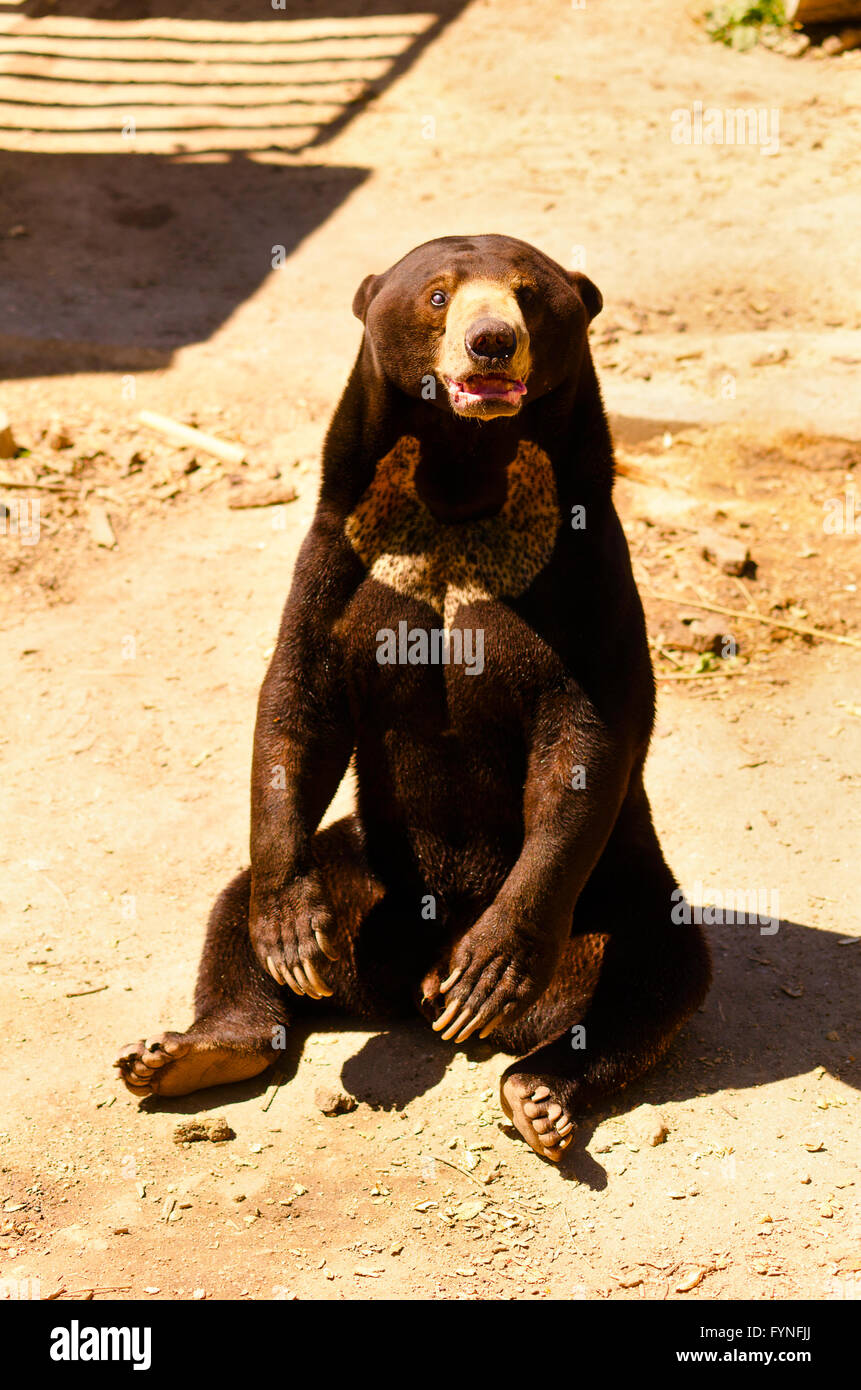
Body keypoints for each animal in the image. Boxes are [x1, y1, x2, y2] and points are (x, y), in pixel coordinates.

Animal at [115, 234, 710, 1161]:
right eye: (437, 295)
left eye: (527, 294)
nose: (491, 342)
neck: (461, 479)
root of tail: (405, 984)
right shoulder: (340, 548)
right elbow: (299, 695)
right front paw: (289, 934)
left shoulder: (584, 565)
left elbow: (586, 731)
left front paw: (490, 972)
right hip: (367, 874)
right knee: (234, 910)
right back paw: (192, 1049)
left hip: (612, 890)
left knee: (654, 965)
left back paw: (535, 1086)